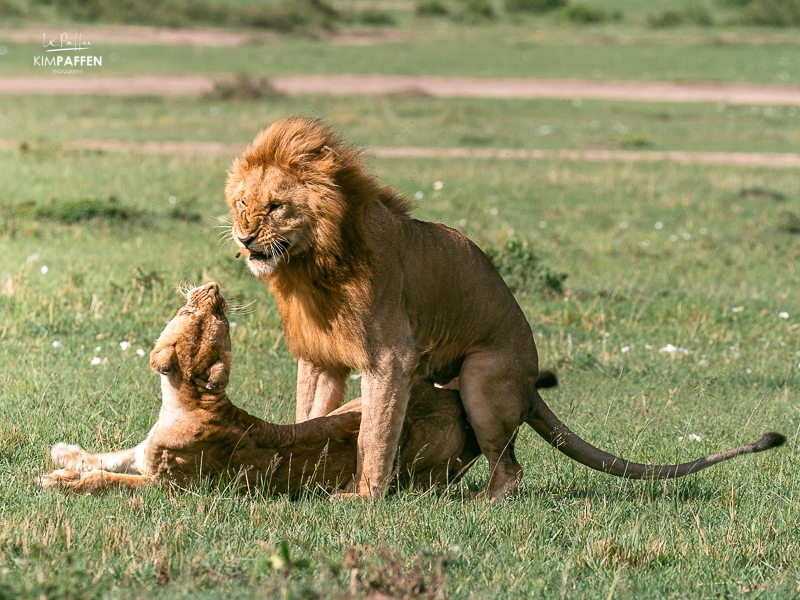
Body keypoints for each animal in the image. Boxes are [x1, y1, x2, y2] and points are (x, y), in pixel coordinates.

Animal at [39, 284, 482, 494]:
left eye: (192, 310)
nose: (213, 286)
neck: (188, 399)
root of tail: (455, 400)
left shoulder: (174, 488)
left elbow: (109, 479)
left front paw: (58, 481)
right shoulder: (140, 453)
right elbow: (107, 458)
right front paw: (64, 455)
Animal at [227, 117, 788, 502]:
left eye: (276, 207)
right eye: (242, 204)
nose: (245, 237)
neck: (313, 266)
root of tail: (530, 376)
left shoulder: (391, 357)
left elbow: (376, 433)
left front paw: (363, 497)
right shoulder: (320, 357)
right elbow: (311, 418)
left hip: (482, 380)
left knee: (511, 468)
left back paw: (479, 502)